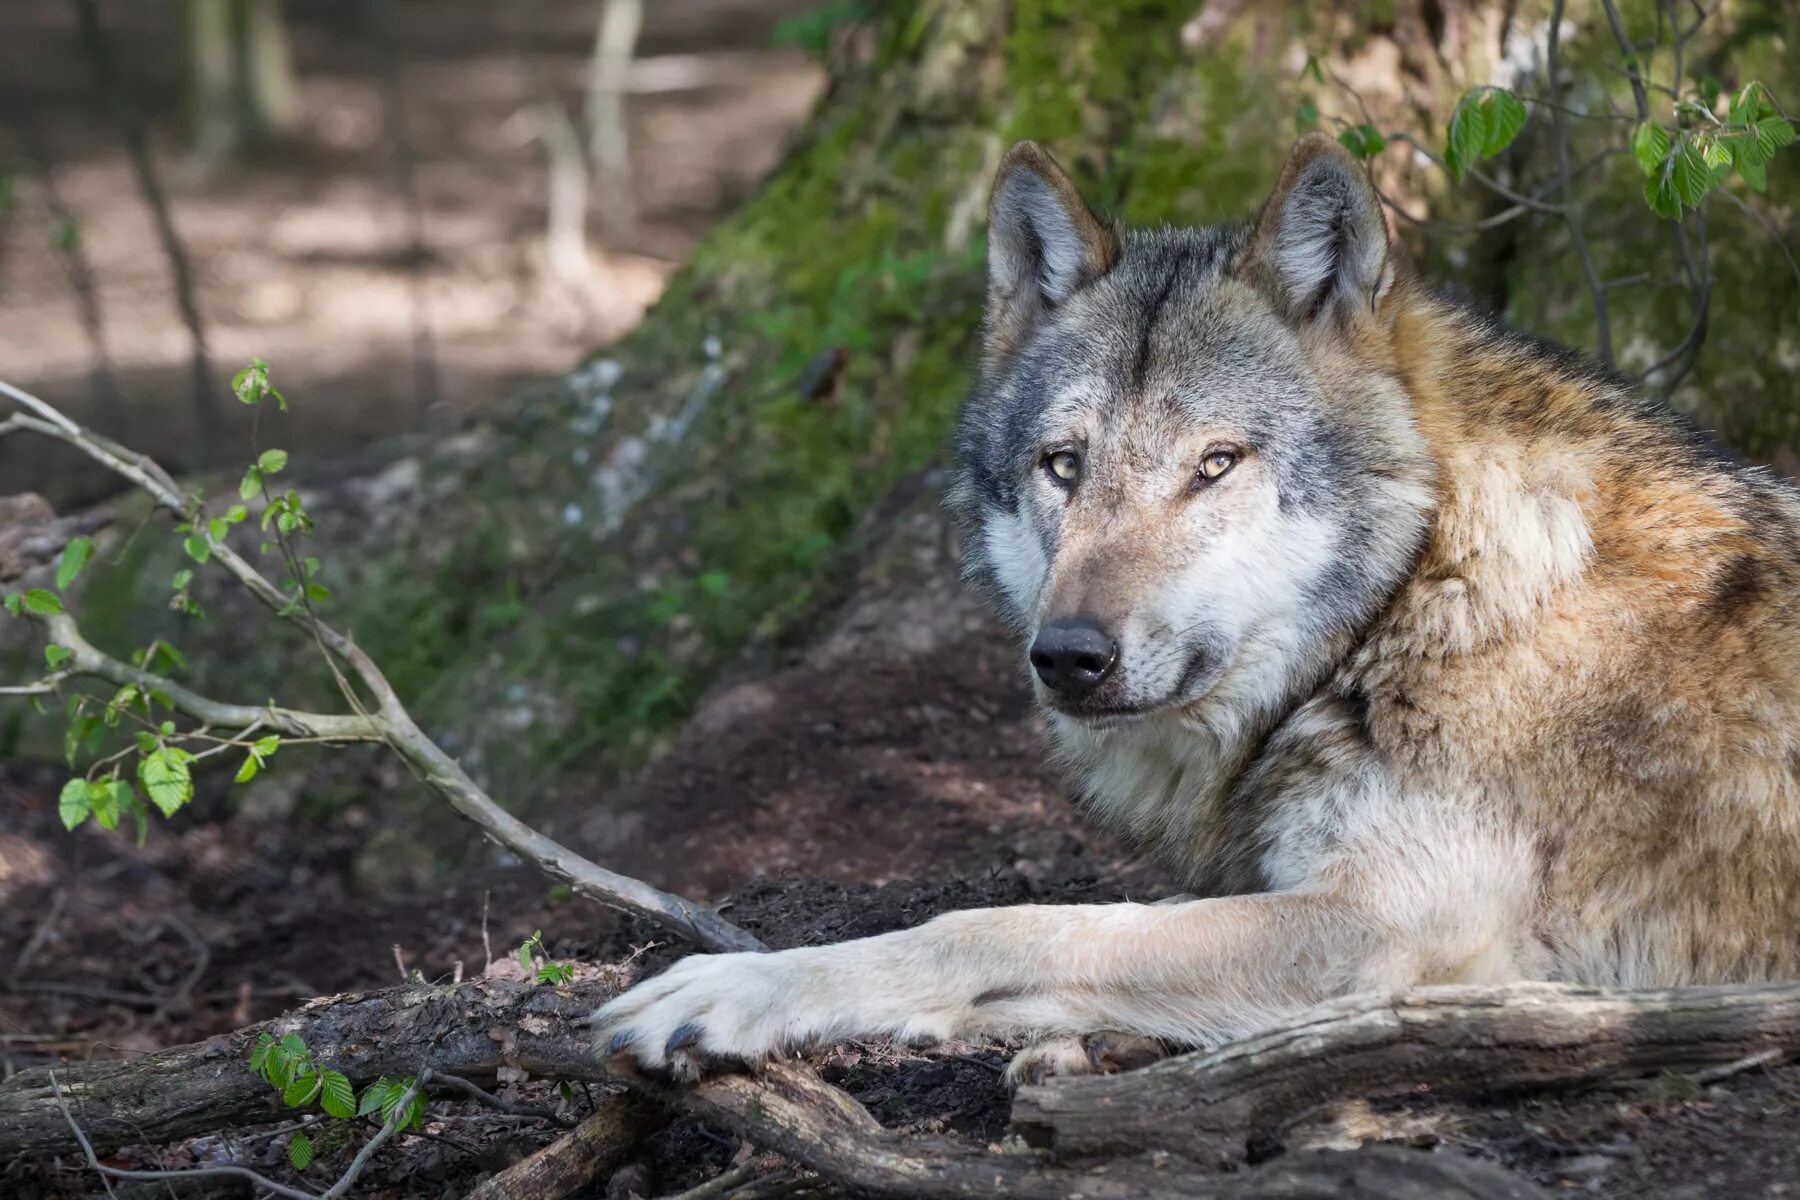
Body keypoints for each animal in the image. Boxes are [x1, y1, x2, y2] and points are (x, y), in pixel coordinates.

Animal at [586, 134, 1800, 1086]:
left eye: (1214, 464)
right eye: (1064, 466)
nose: (1069, 656)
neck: (1420, 597)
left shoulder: (1387, 930)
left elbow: (1014, 926)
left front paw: (736, 989)